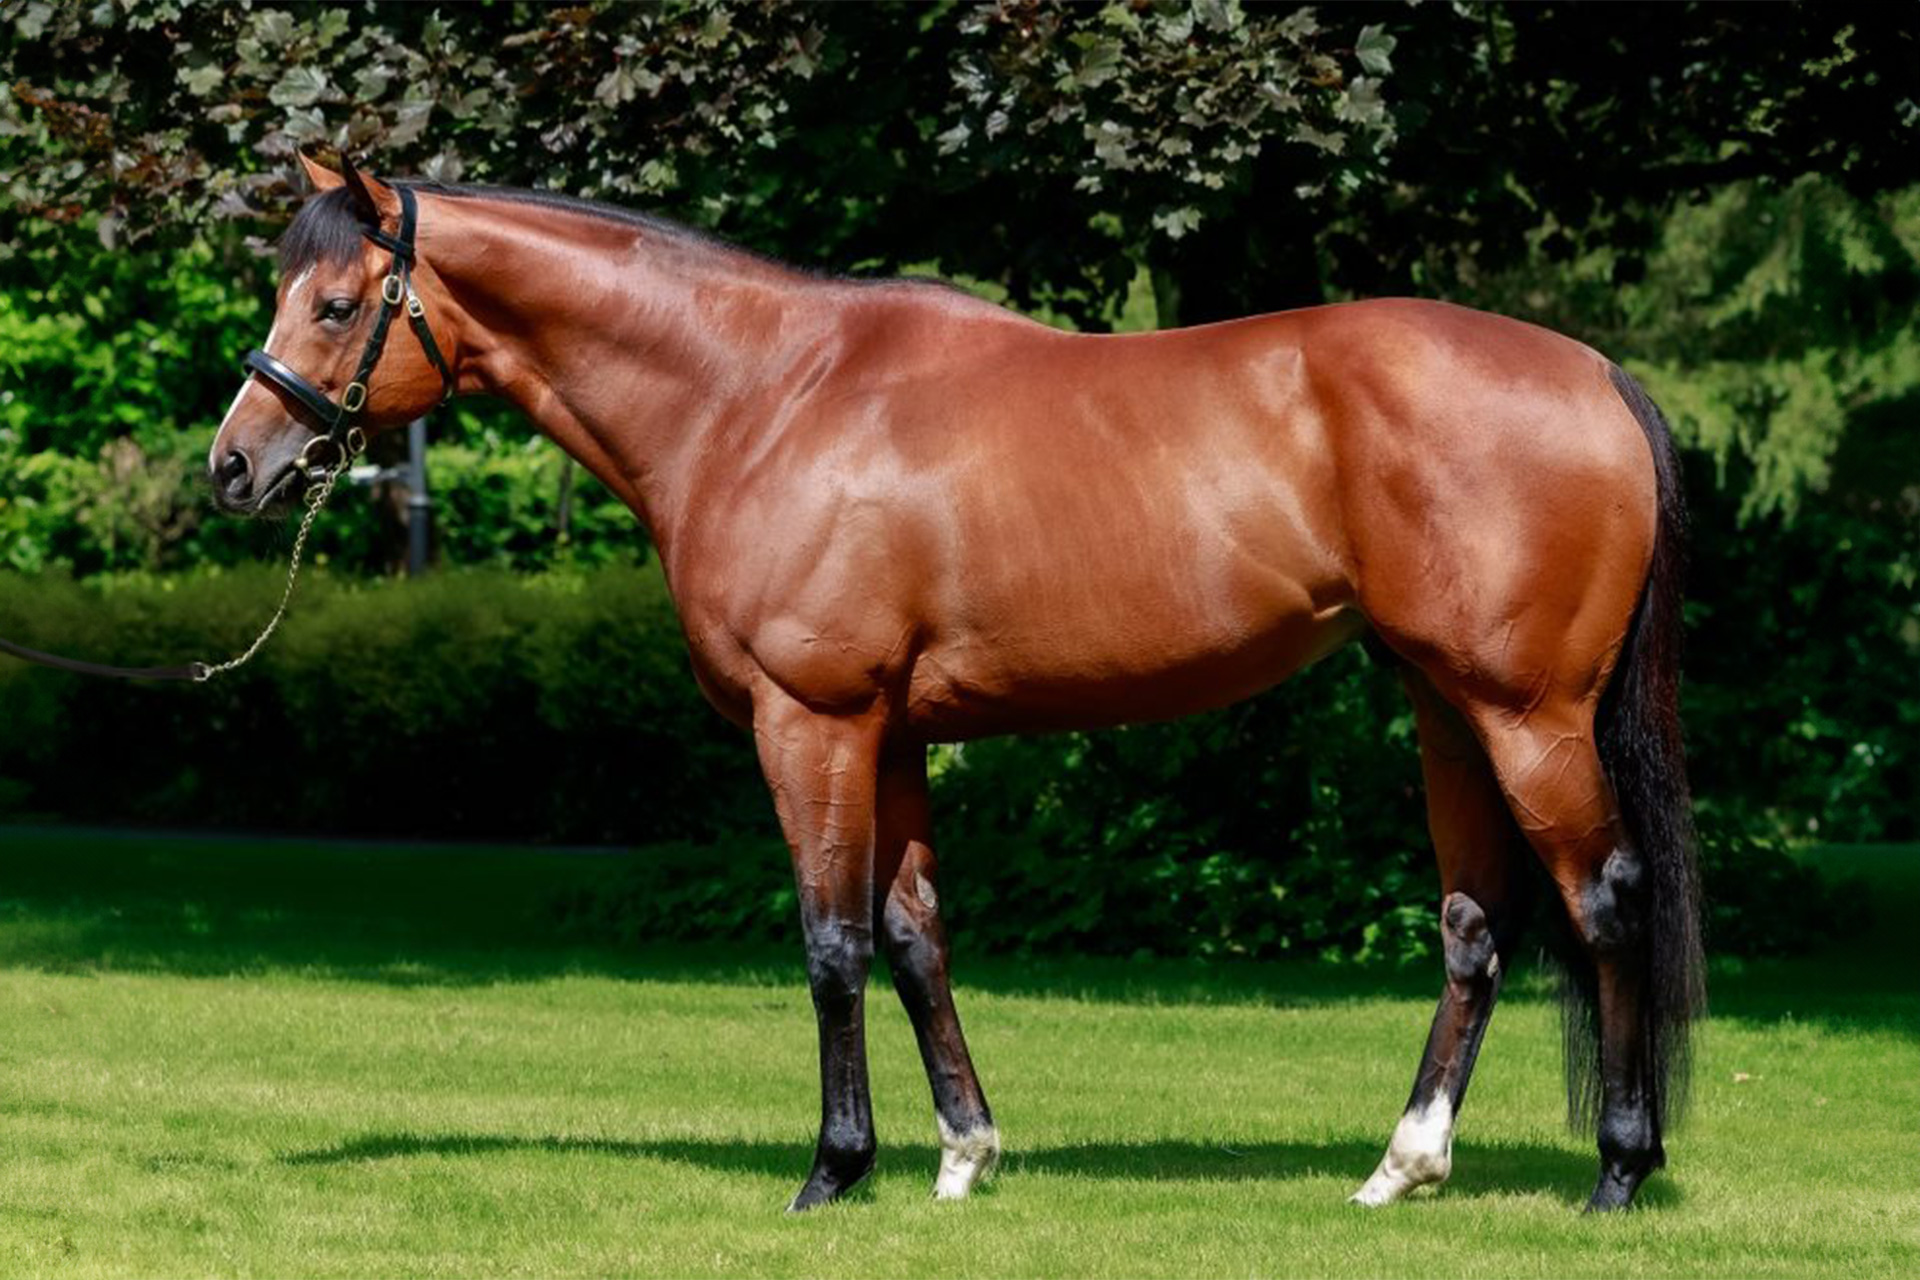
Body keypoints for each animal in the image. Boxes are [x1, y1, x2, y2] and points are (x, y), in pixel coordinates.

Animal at [207, 154, 1704, 1214]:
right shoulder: (893, 735)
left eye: (335, 304)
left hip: (1527, 717)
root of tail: (1592, 374)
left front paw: (834, 1167)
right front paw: (963, 1153)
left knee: (1606, 898)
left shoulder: (810, 723)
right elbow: (915, 933)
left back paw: (1619, 1170)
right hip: (1447, 709)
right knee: (1477, 924)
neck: (762, 394)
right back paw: (1403, 1166)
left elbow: (831, 941)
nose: (236, 464)